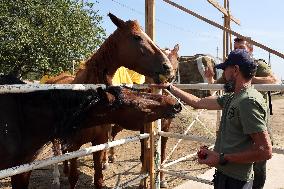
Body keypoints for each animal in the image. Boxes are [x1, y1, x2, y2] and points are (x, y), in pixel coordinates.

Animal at [47, 12, 174, 188]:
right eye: (136, 37)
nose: (168, 68)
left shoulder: (98, 143)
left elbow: (98, 178)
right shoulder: (75, 145)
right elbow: (74, 177)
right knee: (56, 152)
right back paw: (56, 177)